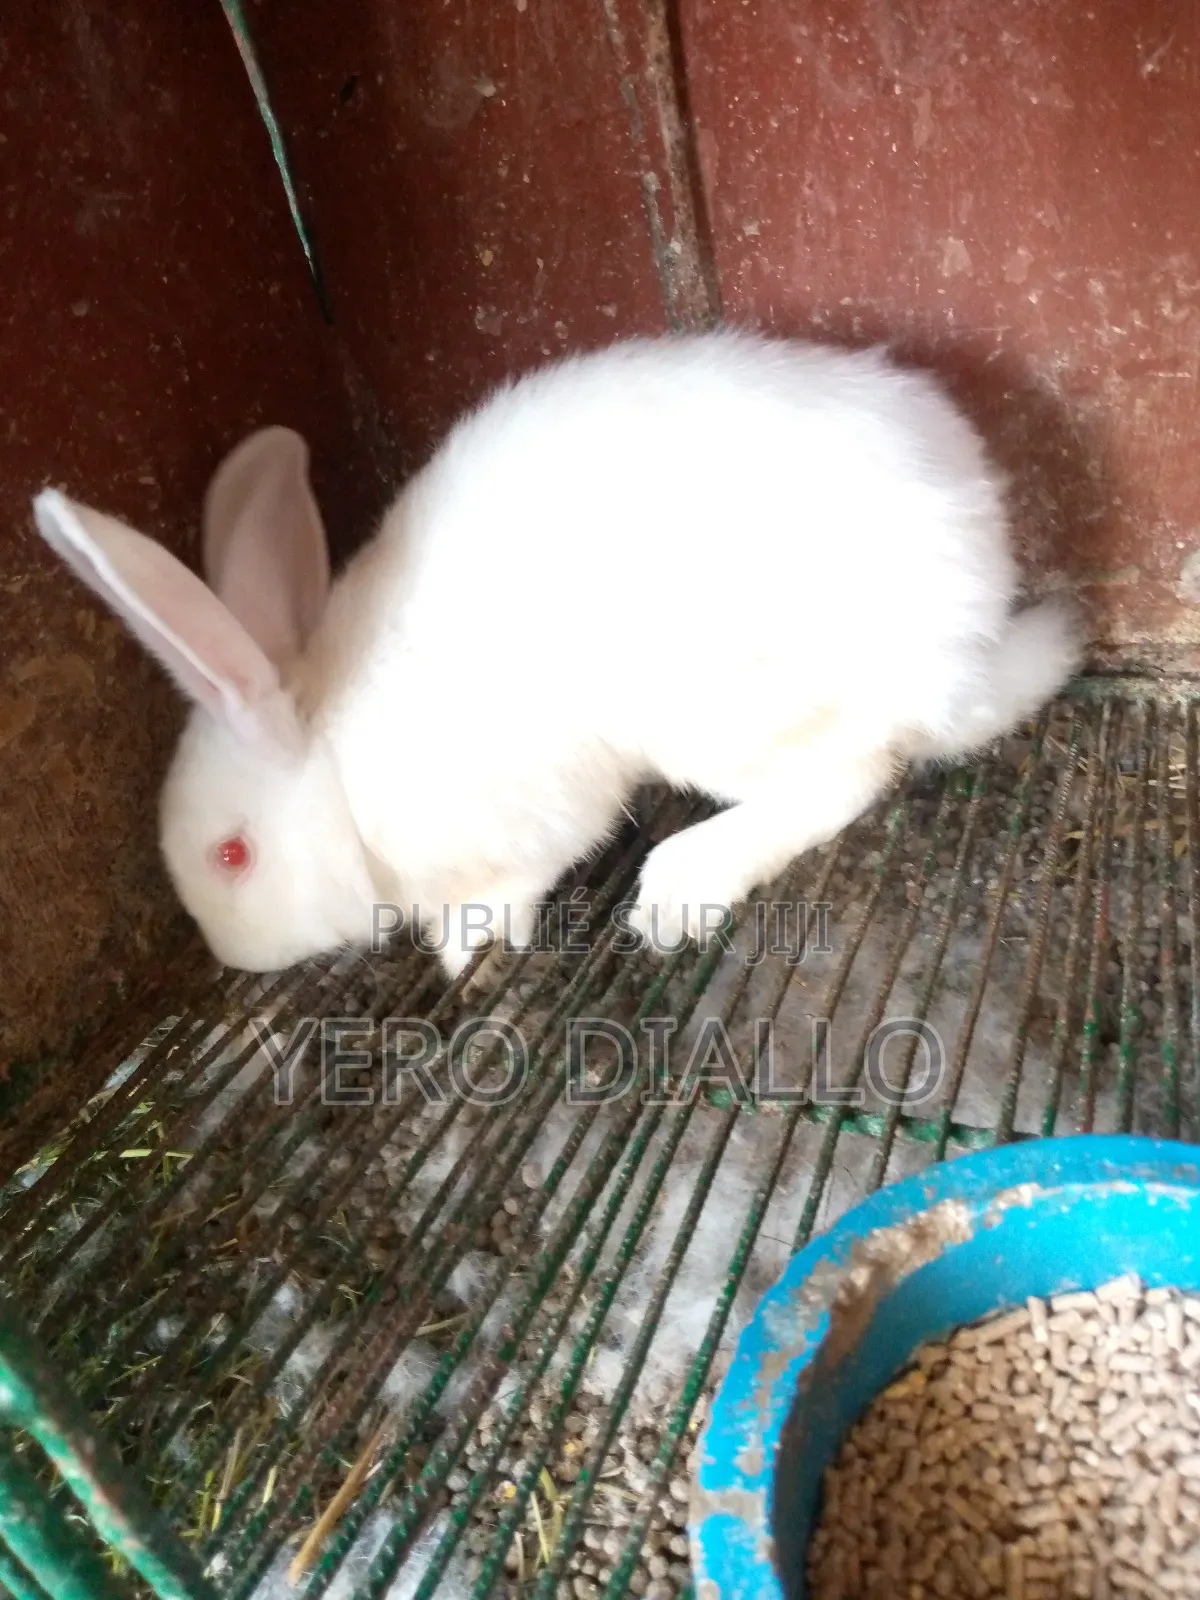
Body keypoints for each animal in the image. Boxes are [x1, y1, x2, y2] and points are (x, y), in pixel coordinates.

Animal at [31, 328, 1078, 980]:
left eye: (233, 855)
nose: (231, 957)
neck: (334, 762)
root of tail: (974, 638)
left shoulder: (529, 813)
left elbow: (523, 880)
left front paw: (464, 948)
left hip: (724, 713)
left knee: (855, 775)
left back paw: (682, 885)